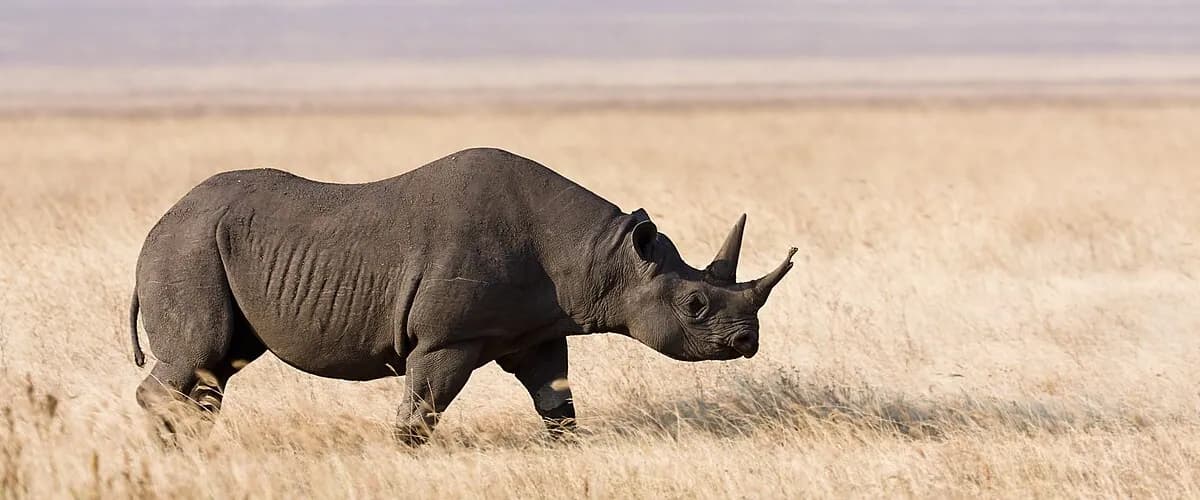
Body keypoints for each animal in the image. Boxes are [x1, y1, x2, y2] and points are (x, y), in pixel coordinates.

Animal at [129, 147, 794, 444]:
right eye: (695, 307)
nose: (748, 341)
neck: (603, 256)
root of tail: (155, 226)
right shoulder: (449, 338)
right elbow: (421, 410)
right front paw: (403, 456)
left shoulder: (537, 329)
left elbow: (557, 402)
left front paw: (567, 451)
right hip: (188, 247)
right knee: (201, 353)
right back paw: (172, 448)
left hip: (202, 245)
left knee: (219, 365)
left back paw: (191, 446)